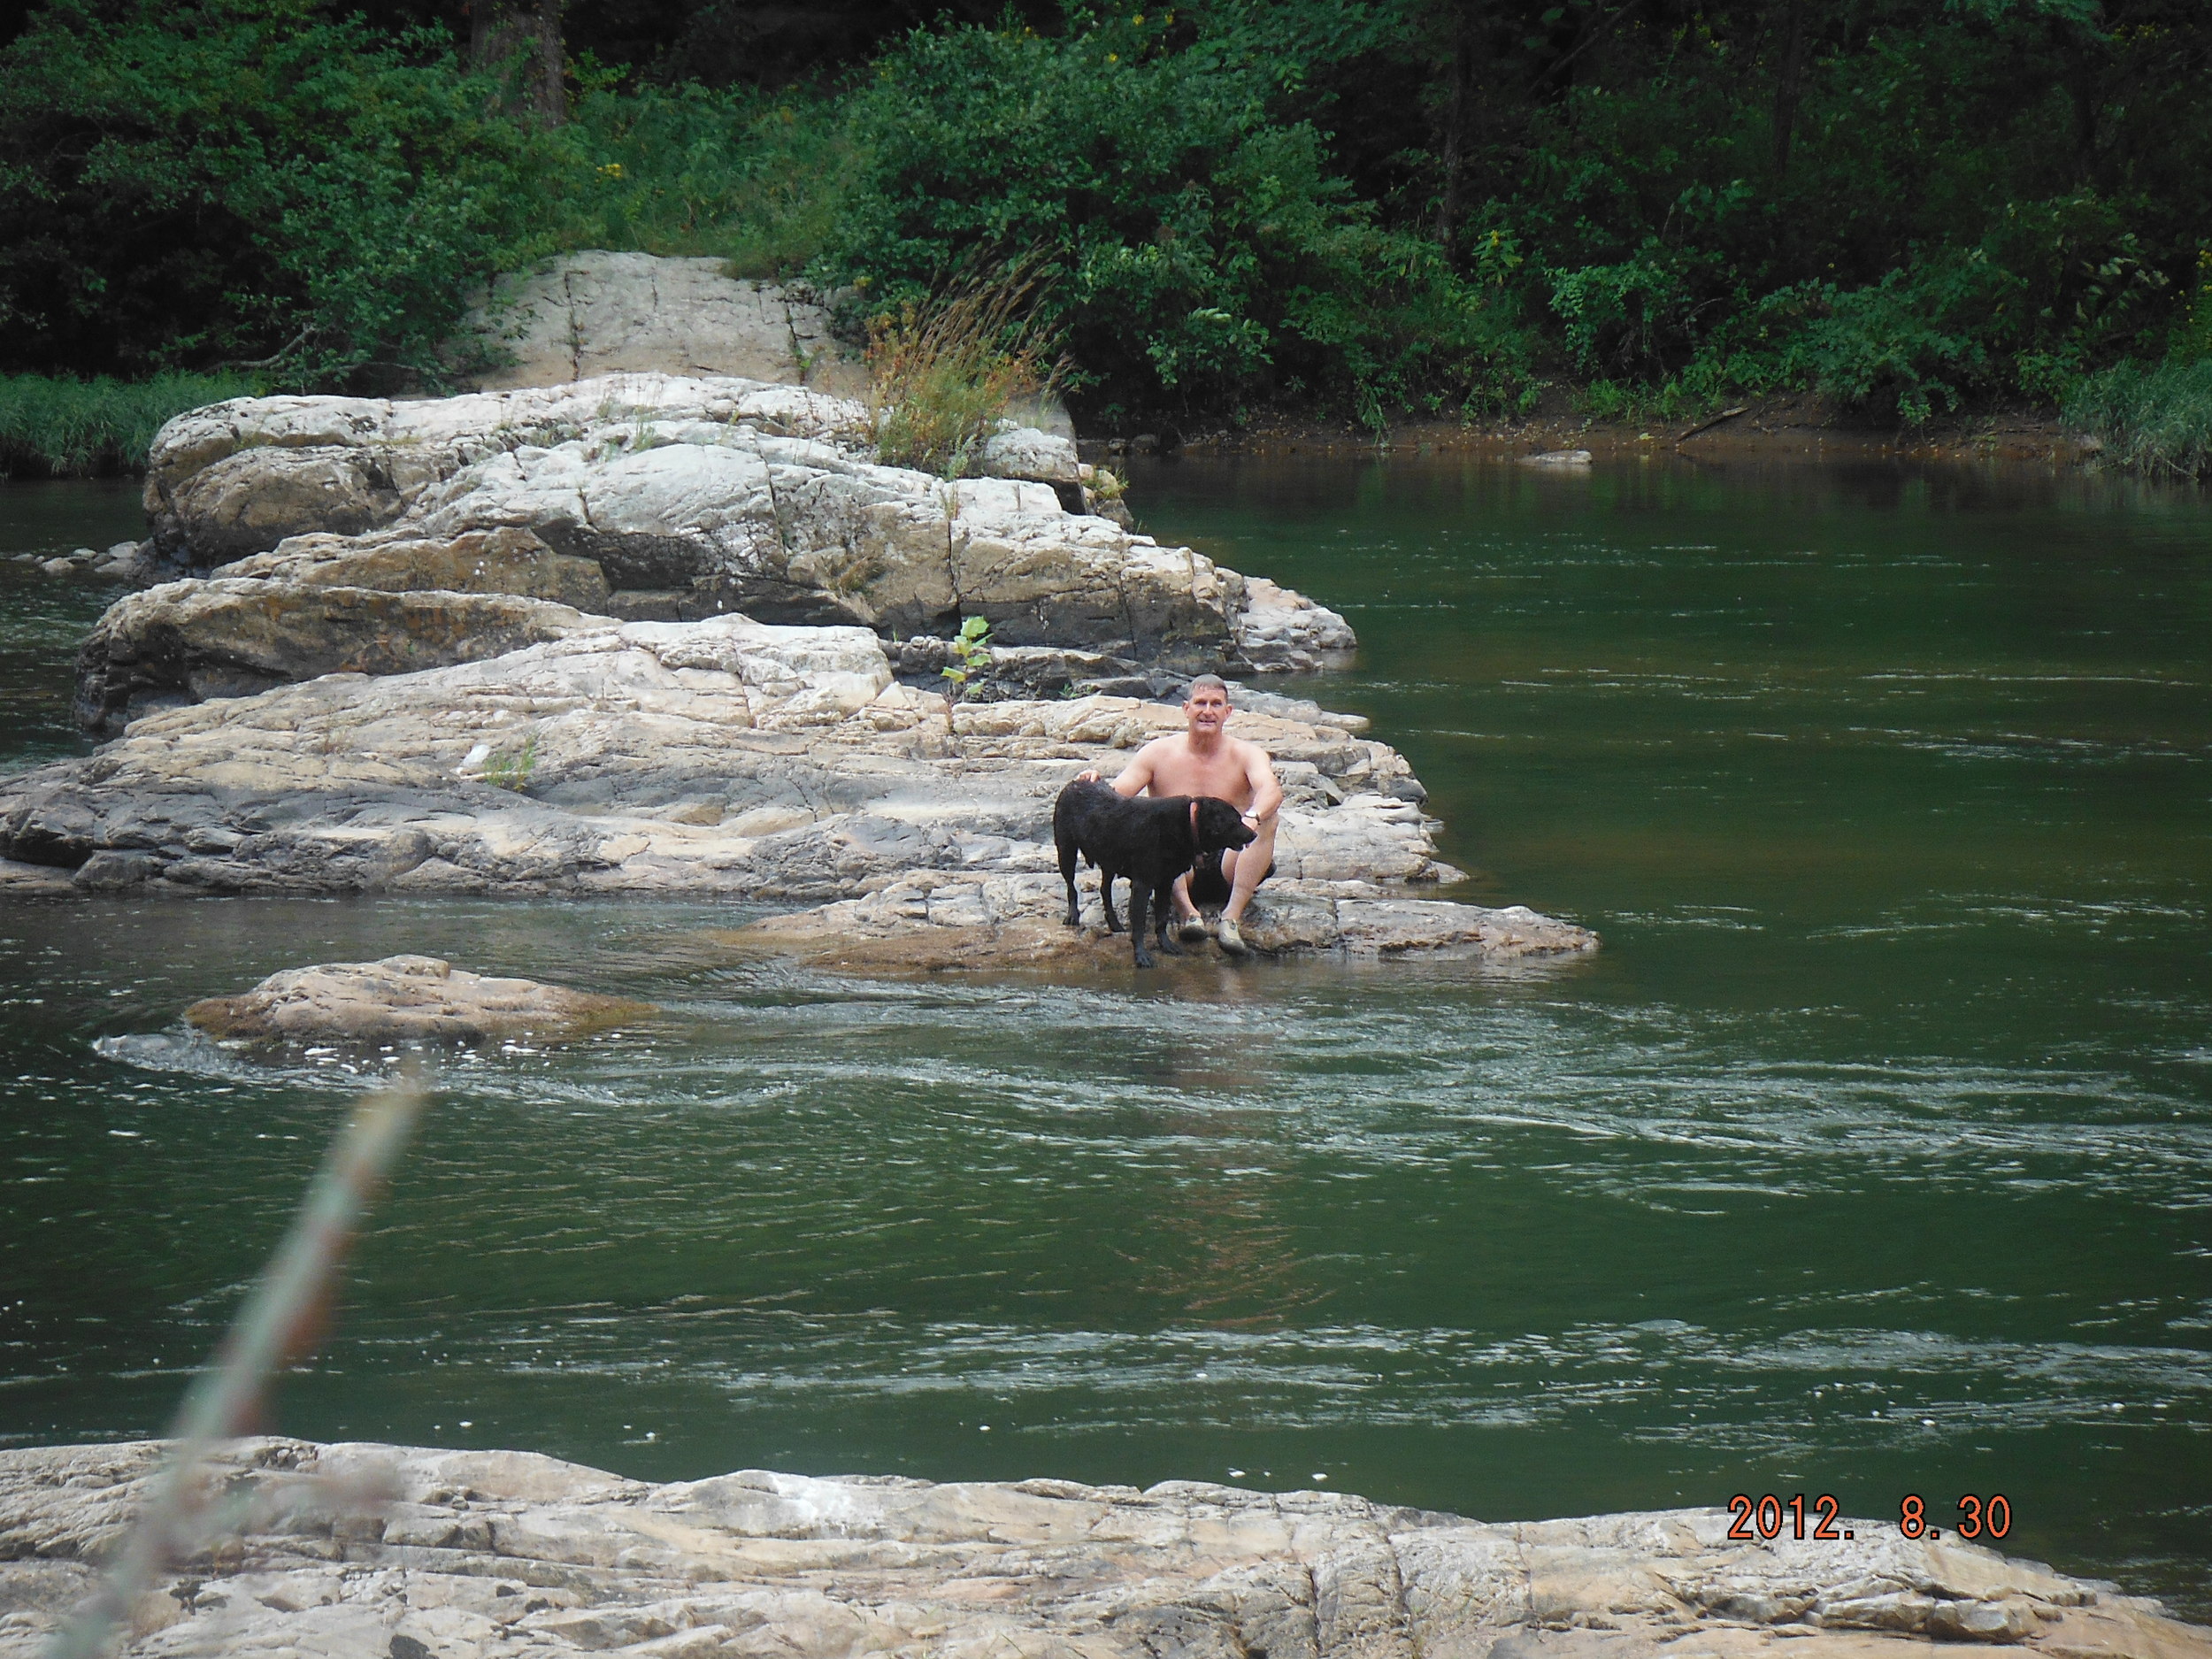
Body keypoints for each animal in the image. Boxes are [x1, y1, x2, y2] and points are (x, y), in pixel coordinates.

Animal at [1057, 783, 1256, 969]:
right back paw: (1072, 916)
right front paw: (1141, 956)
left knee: (1104, 890)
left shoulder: (1166, 883)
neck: (1189, 823)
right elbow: (1139, 925)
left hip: (1109, 861)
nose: (1255, 834)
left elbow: (1161, 919)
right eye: (1236, 821)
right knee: (1071, 888)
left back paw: (1115, 924)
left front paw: (1166, 945)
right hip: (1066, 852)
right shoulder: (1142, 885)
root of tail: (1073, 784)